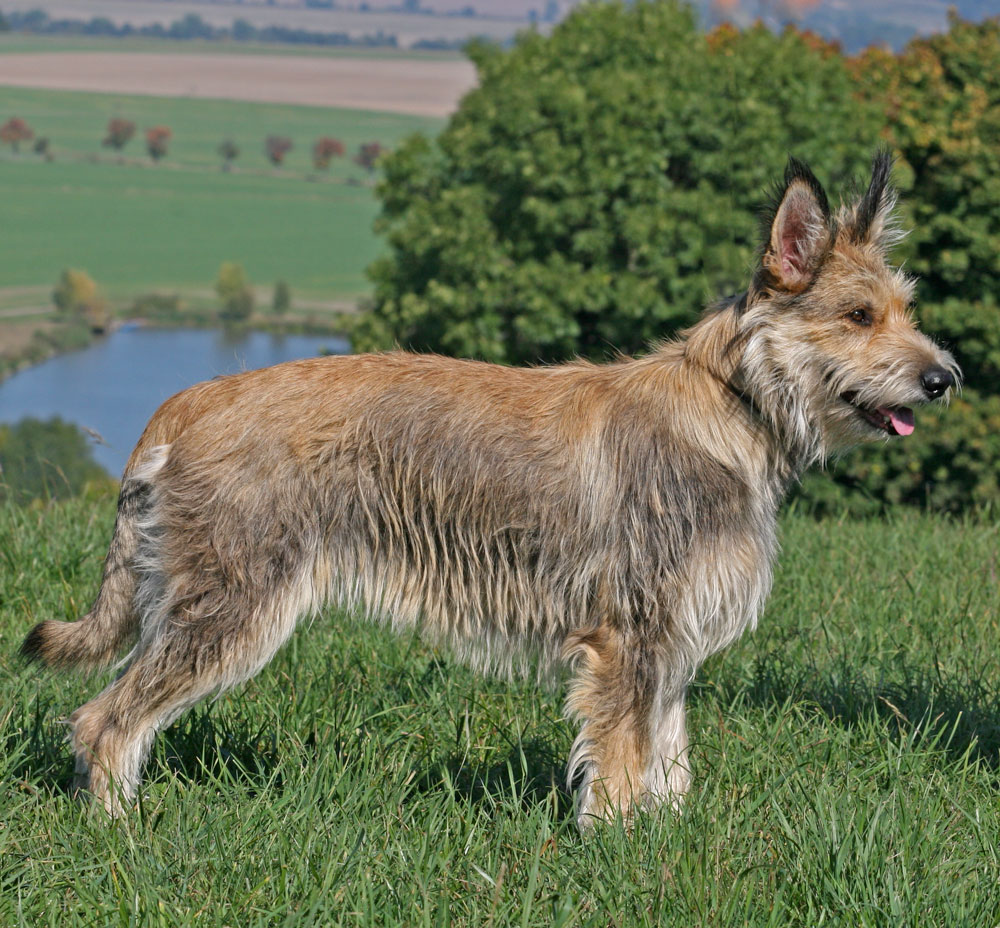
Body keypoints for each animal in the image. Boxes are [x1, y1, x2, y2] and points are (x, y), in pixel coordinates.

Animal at [19, 152, 956, 828]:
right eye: (859, 316)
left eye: (907, 310)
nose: (945, 377)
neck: (731, 404)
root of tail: (187, 399)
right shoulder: (628, 642)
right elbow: (623, 761)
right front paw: (617, 850)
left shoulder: (670, 645)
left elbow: (668, 753)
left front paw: (669, 839)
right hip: (228, 613)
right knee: (104, 721)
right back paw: (120, 834)